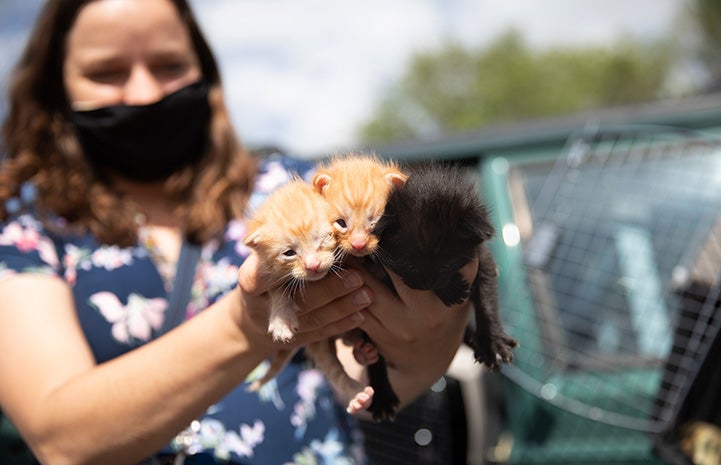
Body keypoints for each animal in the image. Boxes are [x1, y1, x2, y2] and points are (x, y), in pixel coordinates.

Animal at [245, 179, 374, 414]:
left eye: (324, 239)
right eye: (289, 253)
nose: (313, 266)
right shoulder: (268, 274)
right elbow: (278, 290)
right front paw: (281, 320)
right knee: (333, 367)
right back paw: (357, 392)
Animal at [372, 162, 516, 370]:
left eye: (447, 264)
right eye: (409, 265)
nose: (427, 283)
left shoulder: (483, 258)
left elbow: (486, 300)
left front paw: (491, 342)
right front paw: (452, 290)